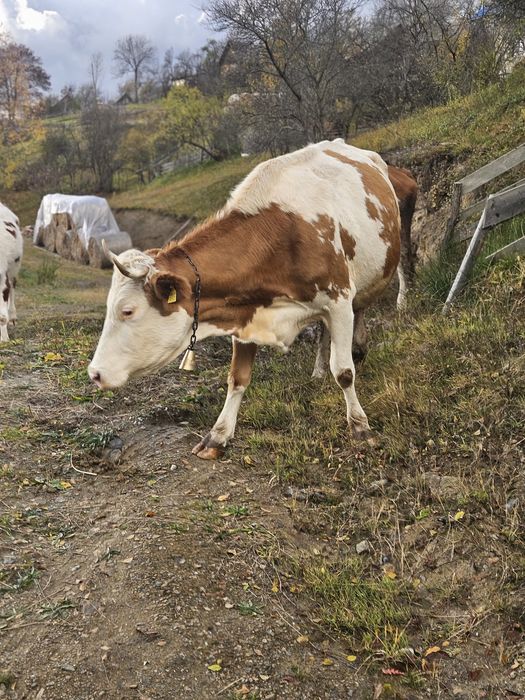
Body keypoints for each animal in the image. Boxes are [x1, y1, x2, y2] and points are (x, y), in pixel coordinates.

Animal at [89, 139, 401, 459]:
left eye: (127, 311)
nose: (94, 374)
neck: (281, 233)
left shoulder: (338, 301)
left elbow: (344, 371)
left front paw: (360, 427)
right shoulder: (245, 313)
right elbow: (237, 378)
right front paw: (217, 435)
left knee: (359, 311)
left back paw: (359, 346)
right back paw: (318, 370)